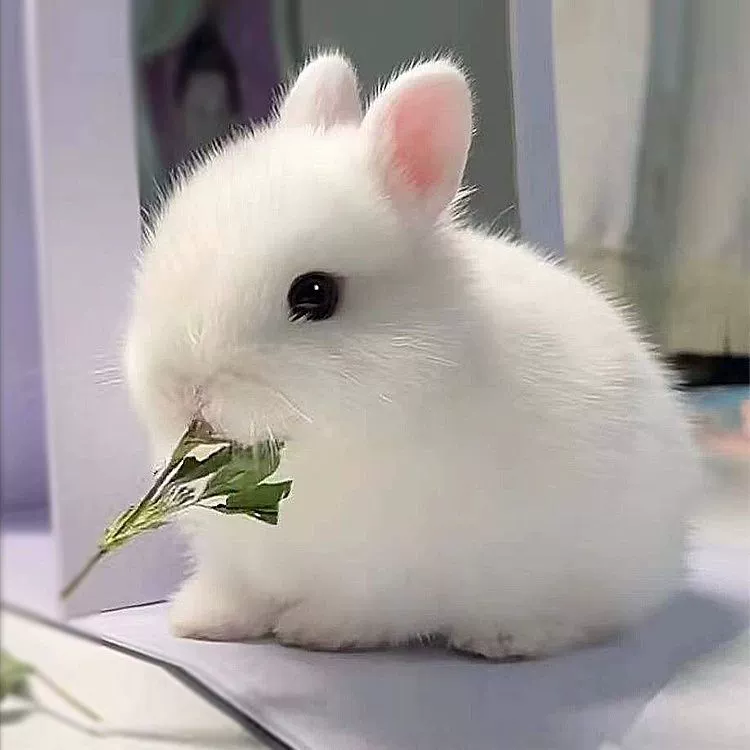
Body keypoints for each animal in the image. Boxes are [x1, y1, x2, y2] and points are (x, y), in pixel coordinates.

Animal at [124, 52, 699, 659]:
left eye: (315, 294)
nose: (178, 389)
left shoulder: (390, 574)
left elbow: (370, 611)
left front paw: (314, 631)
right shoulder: (237, 564)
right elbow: (237, 594)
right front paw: (197, 621)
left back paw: (502, 637)